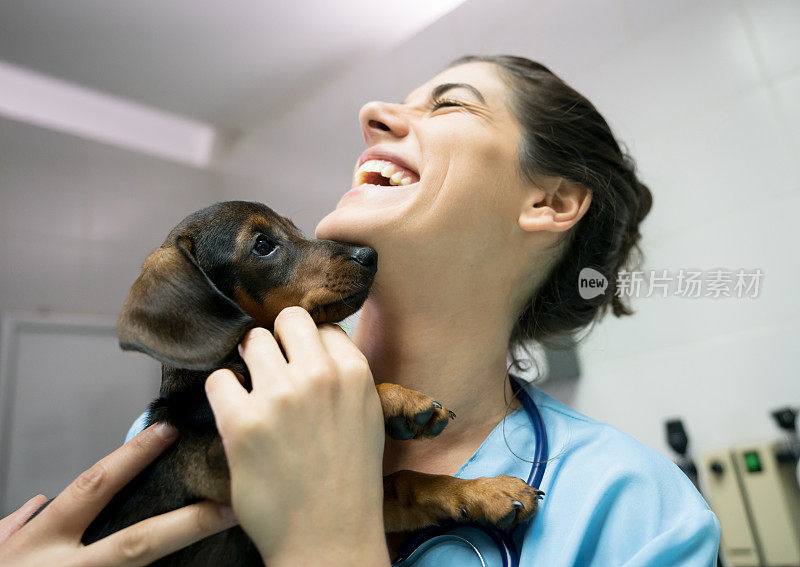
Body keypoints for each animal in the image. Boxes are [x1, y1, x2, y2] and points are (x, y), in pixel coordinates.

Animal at [81, 202, 540, 564]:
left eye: (293, 227)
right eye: (262, 244)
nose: (369, 253)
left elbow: (405, 481)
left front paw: (484, 490)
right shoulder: (235, 463)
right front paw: (399, 402)